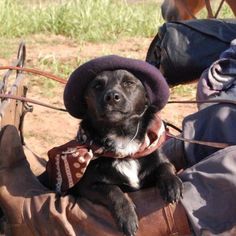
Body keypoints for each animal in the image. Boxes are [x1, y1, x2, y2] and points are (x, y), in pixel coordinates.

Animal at [68, 69, 183, 235]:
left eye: (129, 83)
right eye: (97, 86)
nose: (111, 97)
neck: (122, 140)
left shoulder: (158, 160)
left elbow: (166, 167)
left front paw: (172, 184)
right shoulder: (87, 186)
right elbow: (112, 189)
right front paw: (126, 216)